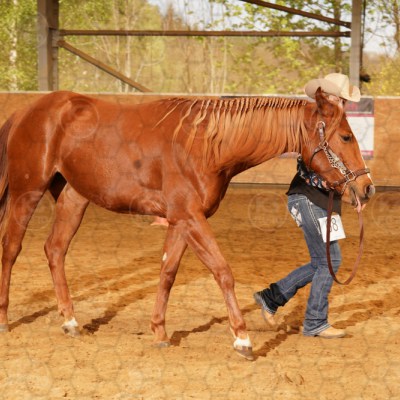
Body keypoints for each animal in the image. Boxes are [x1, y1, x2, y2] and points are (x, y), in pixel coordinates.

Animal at [0, 88, 374, 360]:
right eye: (345, 136)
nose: (366, 187)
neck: (205, 145)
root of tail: (25, 112)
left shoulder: (181, 221)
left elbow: (167, 273)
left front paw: (159, 332)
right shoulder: (191, 218)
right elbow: (223, 272)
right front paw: (242, 339)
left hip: (73, 197)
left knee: (55, 249)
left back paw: (70, 320)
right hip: (26, 192)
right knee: (11, 248)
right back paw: (4, 319)